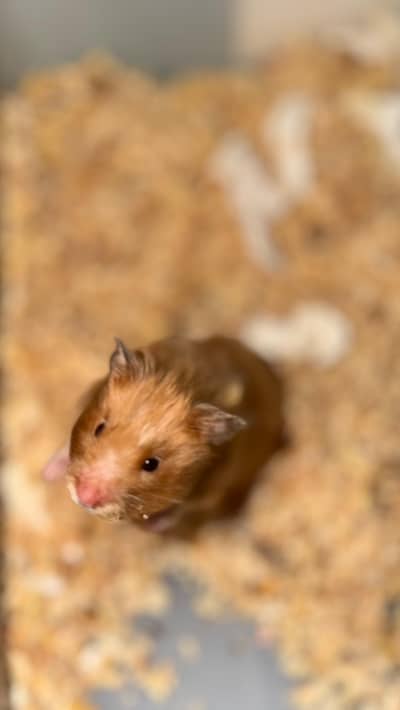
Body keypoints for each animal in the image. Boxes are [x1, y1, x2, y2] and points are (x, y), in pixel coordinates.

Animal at [44, 336, 285, 535]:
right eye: (99, 428)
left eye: (151, 464)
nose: (84, 497)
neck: (183, 383)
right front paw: (46, 473)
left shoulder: (213, 486)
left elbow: (177, 511)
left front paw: (149, 527)